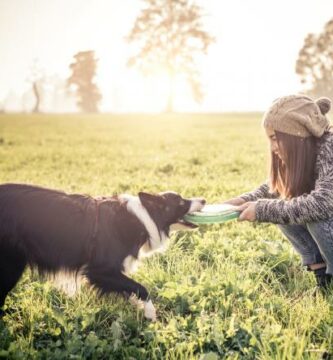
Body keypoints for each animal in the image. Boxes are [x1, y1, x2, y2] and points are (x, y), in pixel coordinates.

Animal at [0, 184, 205, 320]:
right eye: (181, 201)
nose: (203, 200)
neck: (142, 219)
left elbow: (130, 289)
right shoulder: (99, 270)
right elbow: (141, 288)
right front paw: (150, 313)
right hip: (11, 266)